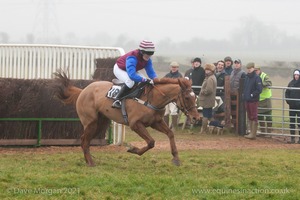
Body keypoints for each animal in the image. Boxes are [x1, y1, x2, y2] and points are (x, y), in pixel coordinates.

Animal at [53, 71, 199, 166]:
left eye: (195, 97)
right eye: (187, 97)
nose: (196, 117)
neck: (152, 98)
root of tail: (82, 91)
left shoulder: (155, 122)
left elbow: (170, 134)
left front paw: (176, 158)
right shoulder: (135, 124)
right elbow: (151, 142)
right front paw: (133, 149)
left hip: (101, 123)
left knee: (86, 140)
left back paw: (88, 159)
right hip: (91, 122)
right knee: (84, 140)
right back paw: (90, 162)